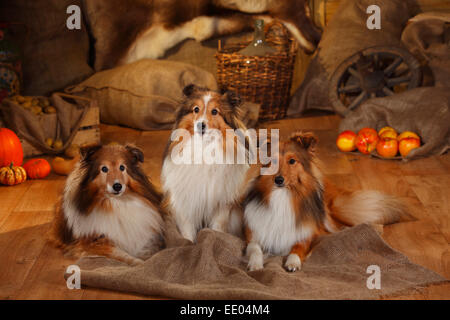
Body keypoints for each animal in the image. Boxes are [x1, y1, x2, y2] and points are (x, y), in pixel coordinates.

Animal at [162, 84, 253, 241]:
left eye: (215, 111)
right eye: (196, 109)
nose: (200, 125)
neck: (204, 146)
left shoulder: (221, 204)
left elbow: (217, 228)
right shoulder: (186, 201)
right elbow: (188, 231)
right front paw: (189, 243)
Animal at [244, 132, 414, 272]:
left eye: (292, 161)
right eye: (272, 161)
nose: (278, 180)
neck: (283, 195)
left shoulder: (308, 233)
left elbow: (298, 248)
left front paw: (293, 262)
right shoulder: (253, 233)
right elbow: (255, 248)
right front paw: (255, 264)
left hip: (337, 210)